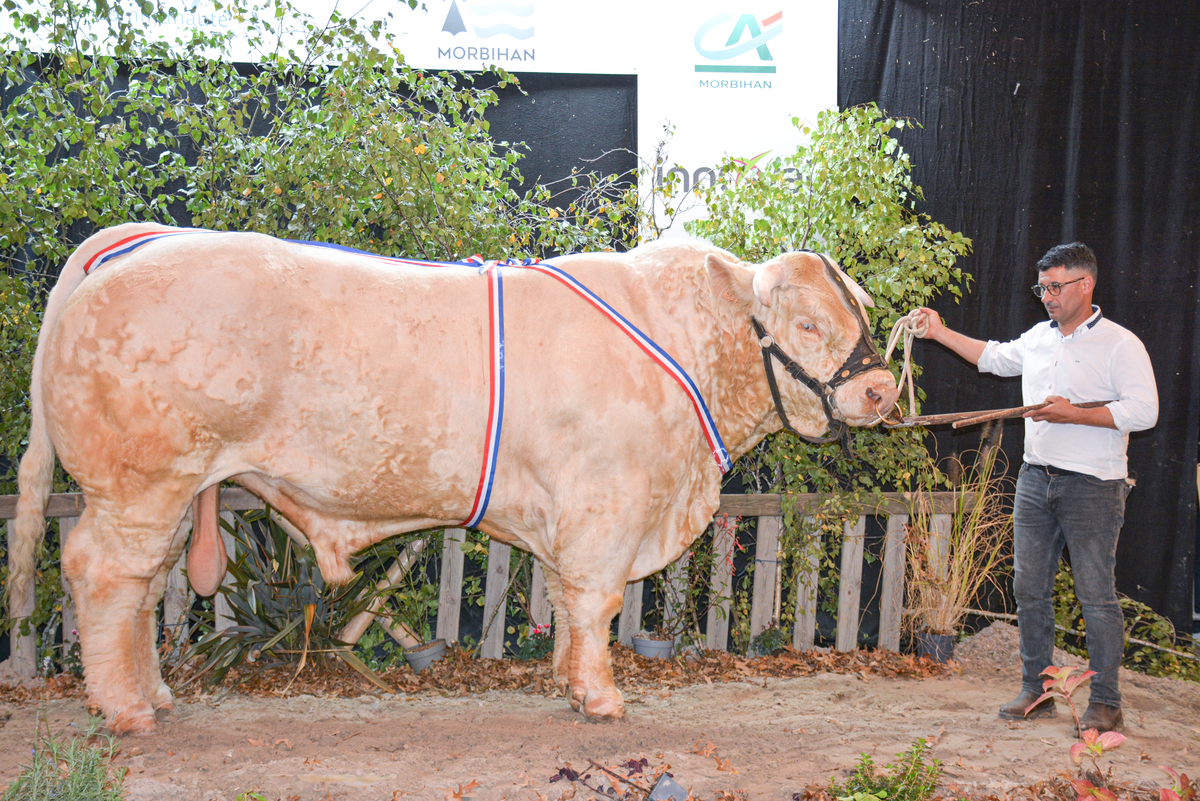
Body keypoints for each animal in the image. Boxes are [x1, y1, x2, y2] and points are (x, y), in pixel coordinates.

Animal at [7, 223, 899, 734]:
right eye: (808, 323)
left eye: (860, 309)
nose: (883, 390)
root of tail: (125, 248)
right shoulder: (607, 504)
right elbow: (596, 603)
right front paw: (602, 698)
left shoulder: (570, 515)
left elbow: (567, 602)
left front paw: (568, 684)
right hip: (141, 482)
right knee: (102, 574)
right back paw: (125, 710)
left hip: (155, 491)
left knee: (142, 588)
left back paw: (152, 693)